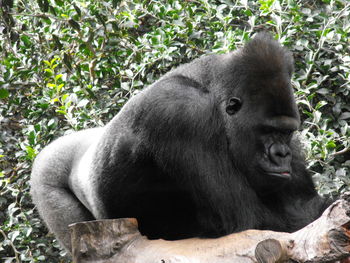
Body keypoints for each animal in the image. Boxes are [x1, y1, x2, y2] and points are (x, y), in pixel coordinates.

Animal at [30, 33, 330, 254]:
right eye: (267, 131)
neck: (211, 91)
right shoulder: (182, 114)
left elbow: (302, 207)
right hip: (46, 173)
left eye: (286, 133)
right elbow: (248, 222)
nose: (281, 154)